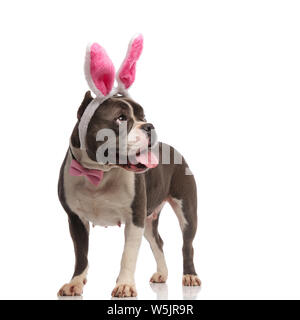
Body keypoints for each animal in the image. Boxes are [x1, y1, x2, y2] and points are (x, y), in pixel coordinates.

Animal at [57, 35, 200, 298]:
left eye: (143, 116)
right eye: (121, 118)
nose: (149, 125)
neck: (99, 173)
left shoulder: (134, 219)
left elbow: (128, 255)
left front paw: (124, 284)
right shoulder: (75, 219)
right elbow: (81, 255)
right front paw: (76, 282)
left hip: (187, 210)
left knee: (187, 244)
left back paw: (190, 275)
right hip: (149, 218)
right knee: (158, 241)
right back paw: (162, 274)